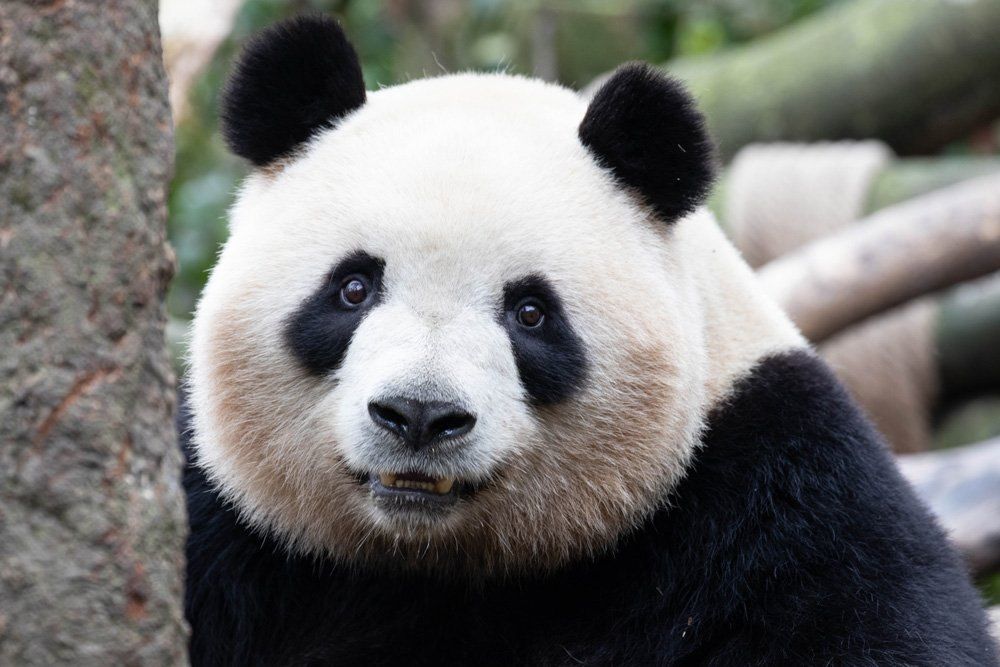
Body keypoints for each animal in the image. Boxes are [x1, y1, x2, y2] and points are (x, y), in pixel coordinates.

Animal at [181, 14, 997, 667]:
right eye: (353, 288)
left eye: (530, 312)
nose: (419, 415)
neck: (434, 560)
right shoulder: (224, 519)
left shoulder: (778, 494)